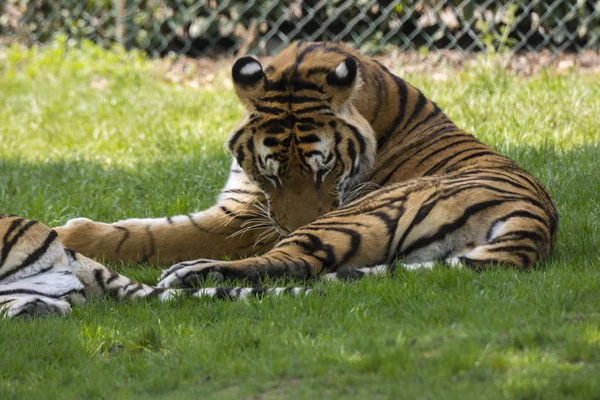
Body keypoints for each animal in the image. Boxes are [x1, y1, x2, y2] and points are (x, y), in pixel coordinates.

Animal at [49, 40, 556, 290]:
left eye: (324, 169)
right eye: (271, 172)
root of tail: (533, 225)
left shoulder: (243, 215)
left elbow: (151, 234)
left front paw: (62, 234)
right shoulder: (250, 206)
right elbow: (157, 231)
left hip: (357, 215)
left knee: (295, 259)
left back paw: (190, 274)